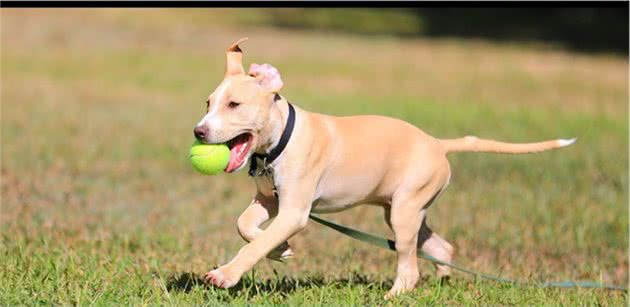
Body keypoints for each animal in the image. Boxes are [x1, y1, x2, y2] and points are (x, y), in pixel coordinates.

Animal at [194, 38, 576, 298]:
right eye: (209, 103)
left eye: (234, 104)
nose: (199, 132)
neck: (280, 141)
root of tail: (437, 143)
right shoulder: (270, 200)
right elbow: (246, 226)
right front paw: (282, 250)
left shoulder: (294, 212)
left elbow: (254, 244)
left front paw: (226, 274)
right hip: (404, 209)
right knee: (440, 247)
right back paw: (443, 280)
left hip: (406, 209)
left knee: (409, 265)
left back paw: (395, 294)